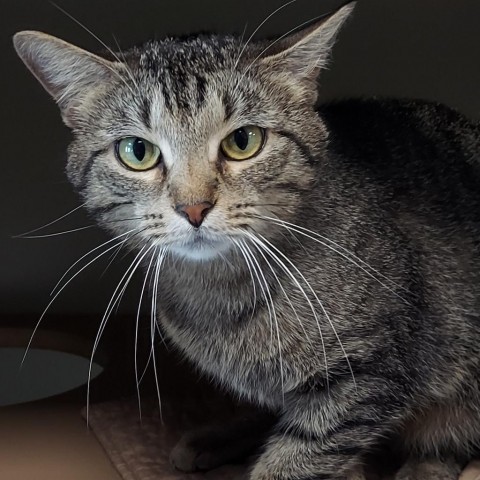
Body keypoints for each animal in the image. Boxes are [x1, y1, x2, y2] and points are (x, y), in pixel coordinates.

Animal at [12, 1, 480, 478]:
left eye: (243, 141)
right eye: (137, 152)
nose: (194, 208)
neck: (221, 294)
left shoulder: (368, 373)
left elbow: (301, 458)